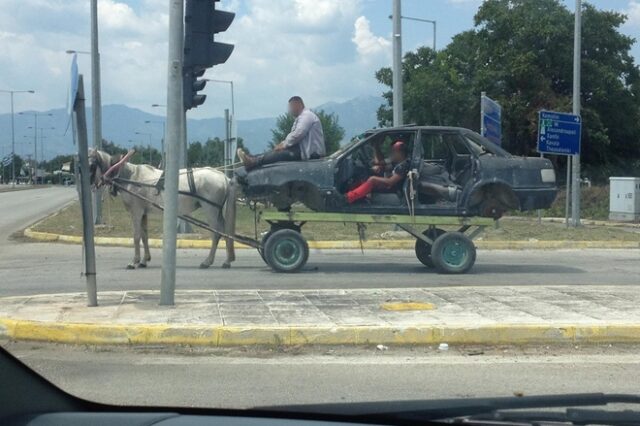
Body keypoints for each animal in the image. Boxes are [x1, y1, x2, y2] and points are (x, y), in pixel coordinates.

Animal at [89, 150, 236, 270]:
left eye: (91, 165)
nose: (91, 185)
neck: (131, 177)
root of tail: (223, 177)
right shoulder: (143, 213)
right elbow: (144, 235)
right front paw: (144, 260)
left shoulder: (136, 212)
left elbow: (136, 236)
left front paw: (134, 262)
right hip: (216, 211)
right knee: (225, 231)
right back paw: (227, 260)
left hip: (211, 209)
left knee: (217, 233)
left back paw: (208, 261)